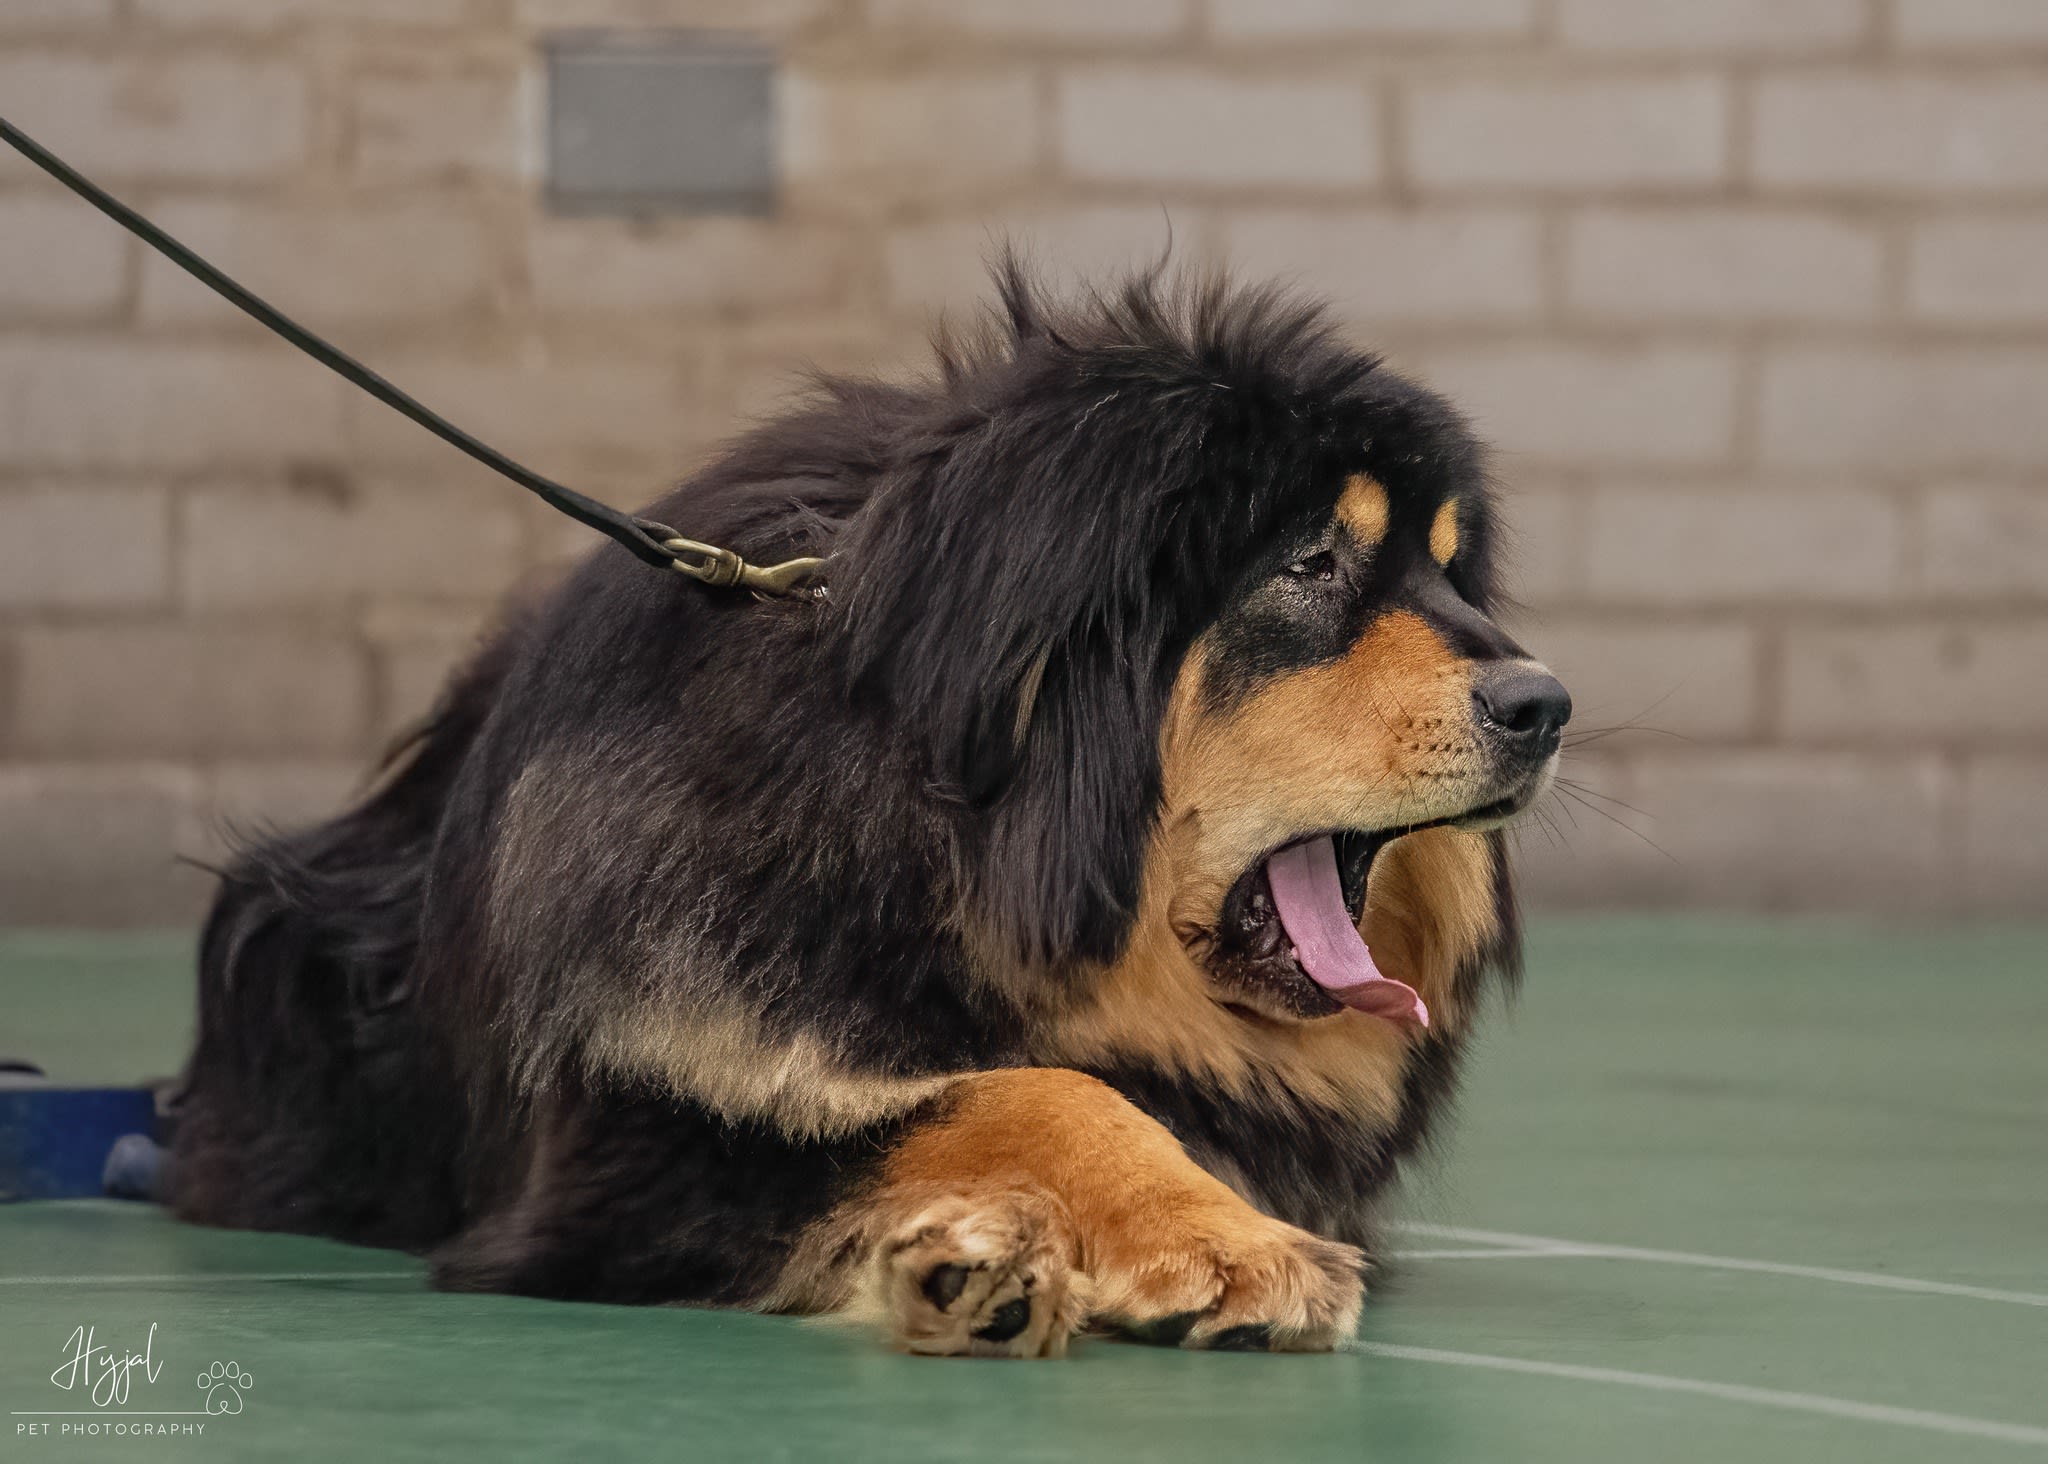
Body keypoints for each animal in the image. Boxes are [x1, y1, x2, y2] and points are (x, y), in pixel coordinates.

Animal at [172, 264, 1564, 1359]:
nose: (1544, 702)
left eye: (1449, 572)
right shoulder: (630, 1148)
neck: (952, 862)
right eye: (1310, 564)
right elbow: (1019, 1091)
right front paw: (1183, 1239)